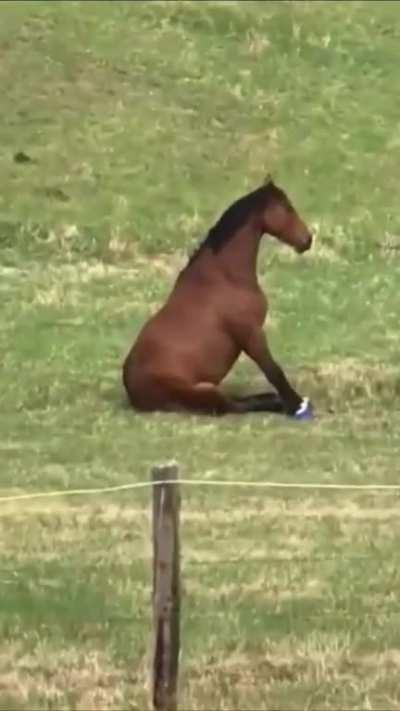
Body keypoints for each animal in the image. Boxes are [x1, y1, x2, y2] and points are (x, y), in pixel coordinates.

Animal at [122, 178, 314, 419]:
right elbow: (273, 370)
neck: (225, 276)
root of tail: (131, 390)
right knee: (235, 406)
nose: (307, 240)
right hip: (205, 391)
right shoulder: (250, 334)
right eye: (287, 207)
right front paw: (297, 405)